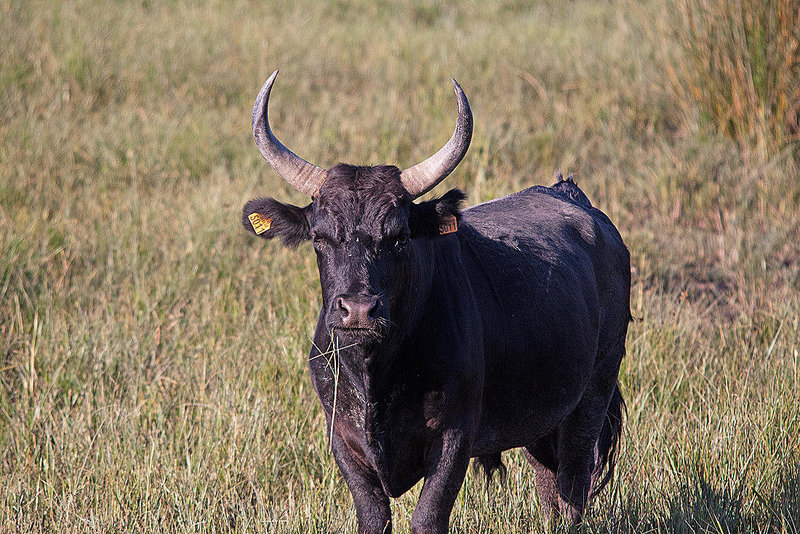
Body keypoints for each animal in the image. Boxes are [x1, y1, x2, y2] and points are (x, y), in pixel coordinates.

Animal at [239, 72, 632, 534]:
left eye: (399, 236)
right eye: (320, 237)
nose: (358, 310)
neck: (377, 376)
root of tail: (576, 200)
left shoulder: (453, 441)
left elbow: (428, 517)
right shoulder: (344, 444)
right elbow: (372, 518)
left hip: (594, 391)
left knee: (573, 483)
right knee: (549, 484)